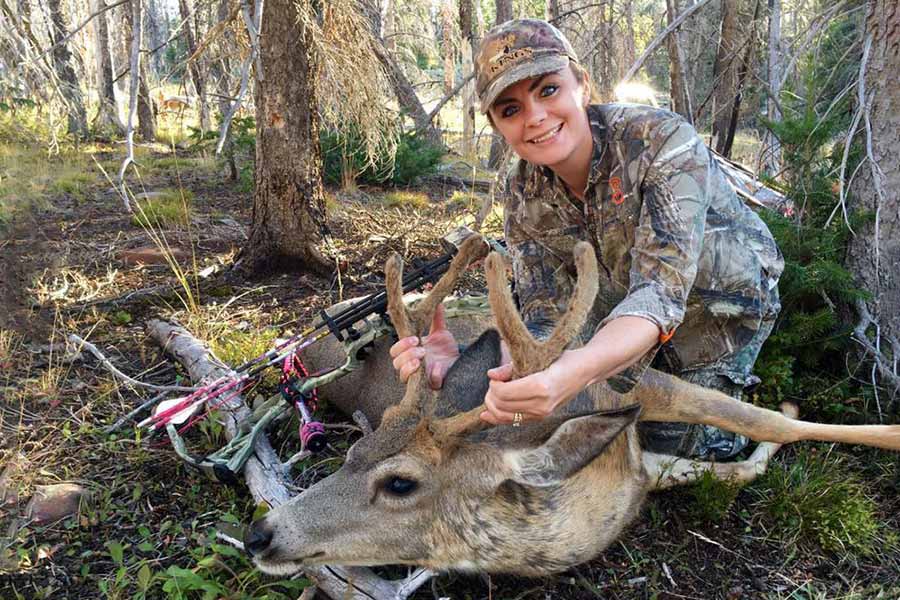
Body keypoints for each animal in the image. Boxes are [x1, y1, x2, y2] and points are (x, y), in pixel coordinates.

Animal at [243, 234, 900, 577]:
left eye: (399, 482)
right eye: (351, 453)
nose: (259, 534)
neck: (613, 489)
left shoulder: (629, 380)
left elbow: (754, 422)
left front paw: (866, 429)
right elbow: (735, 465)